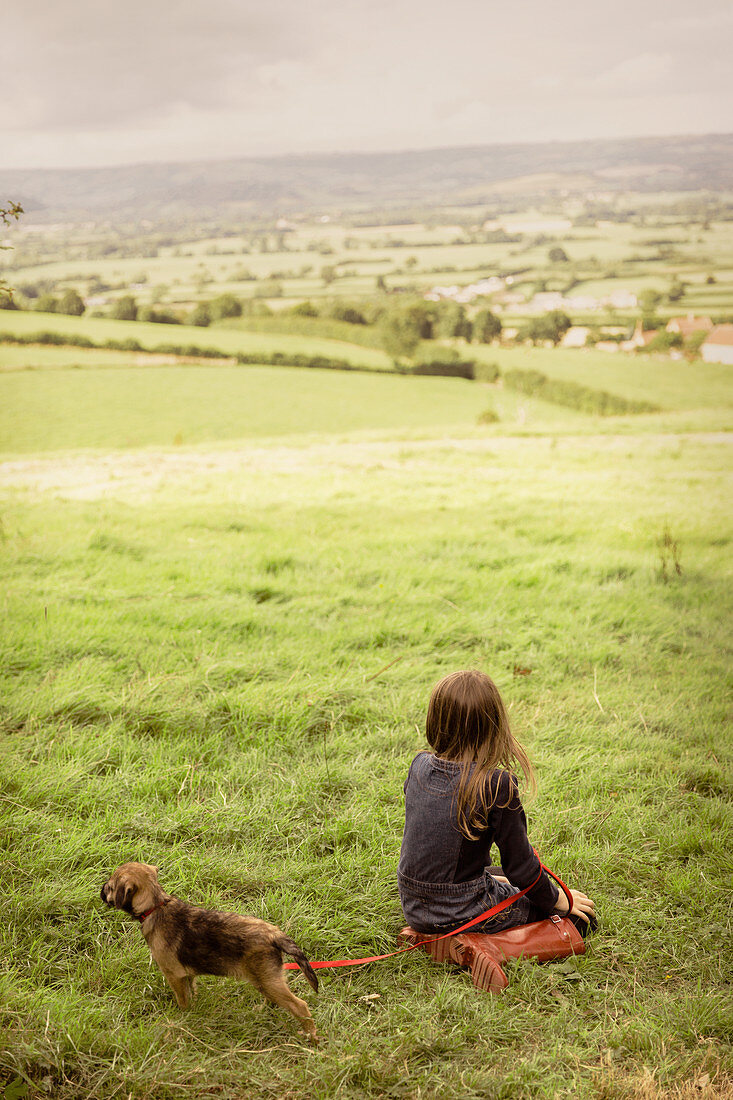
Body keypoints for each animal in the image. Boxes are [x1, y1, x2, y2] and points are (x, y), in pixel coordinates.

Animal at [101, 858, 316, 1038]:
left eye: (110, 887)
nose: (101, 889)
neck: (156, 906)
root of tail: (274, 934)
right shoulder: (187, 975)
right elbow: (191, 993)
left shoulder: (174, 976)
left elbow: (183, 1000)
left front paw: (182, 1018)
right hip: (265, 978)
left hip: (267, 979)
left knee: (300, 1006)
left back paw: (310, 1037)